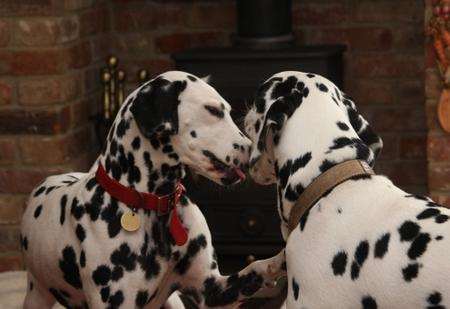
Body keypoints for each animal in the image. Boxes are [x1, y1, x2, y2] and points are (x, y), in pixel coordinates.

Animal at [21, 70, 284, 308]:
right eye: (213, 110)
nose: (253, 150)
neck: (157, 205)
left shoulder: (211, 290)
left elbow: (256, 266)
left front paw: (280, 260)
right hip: (37, 295)